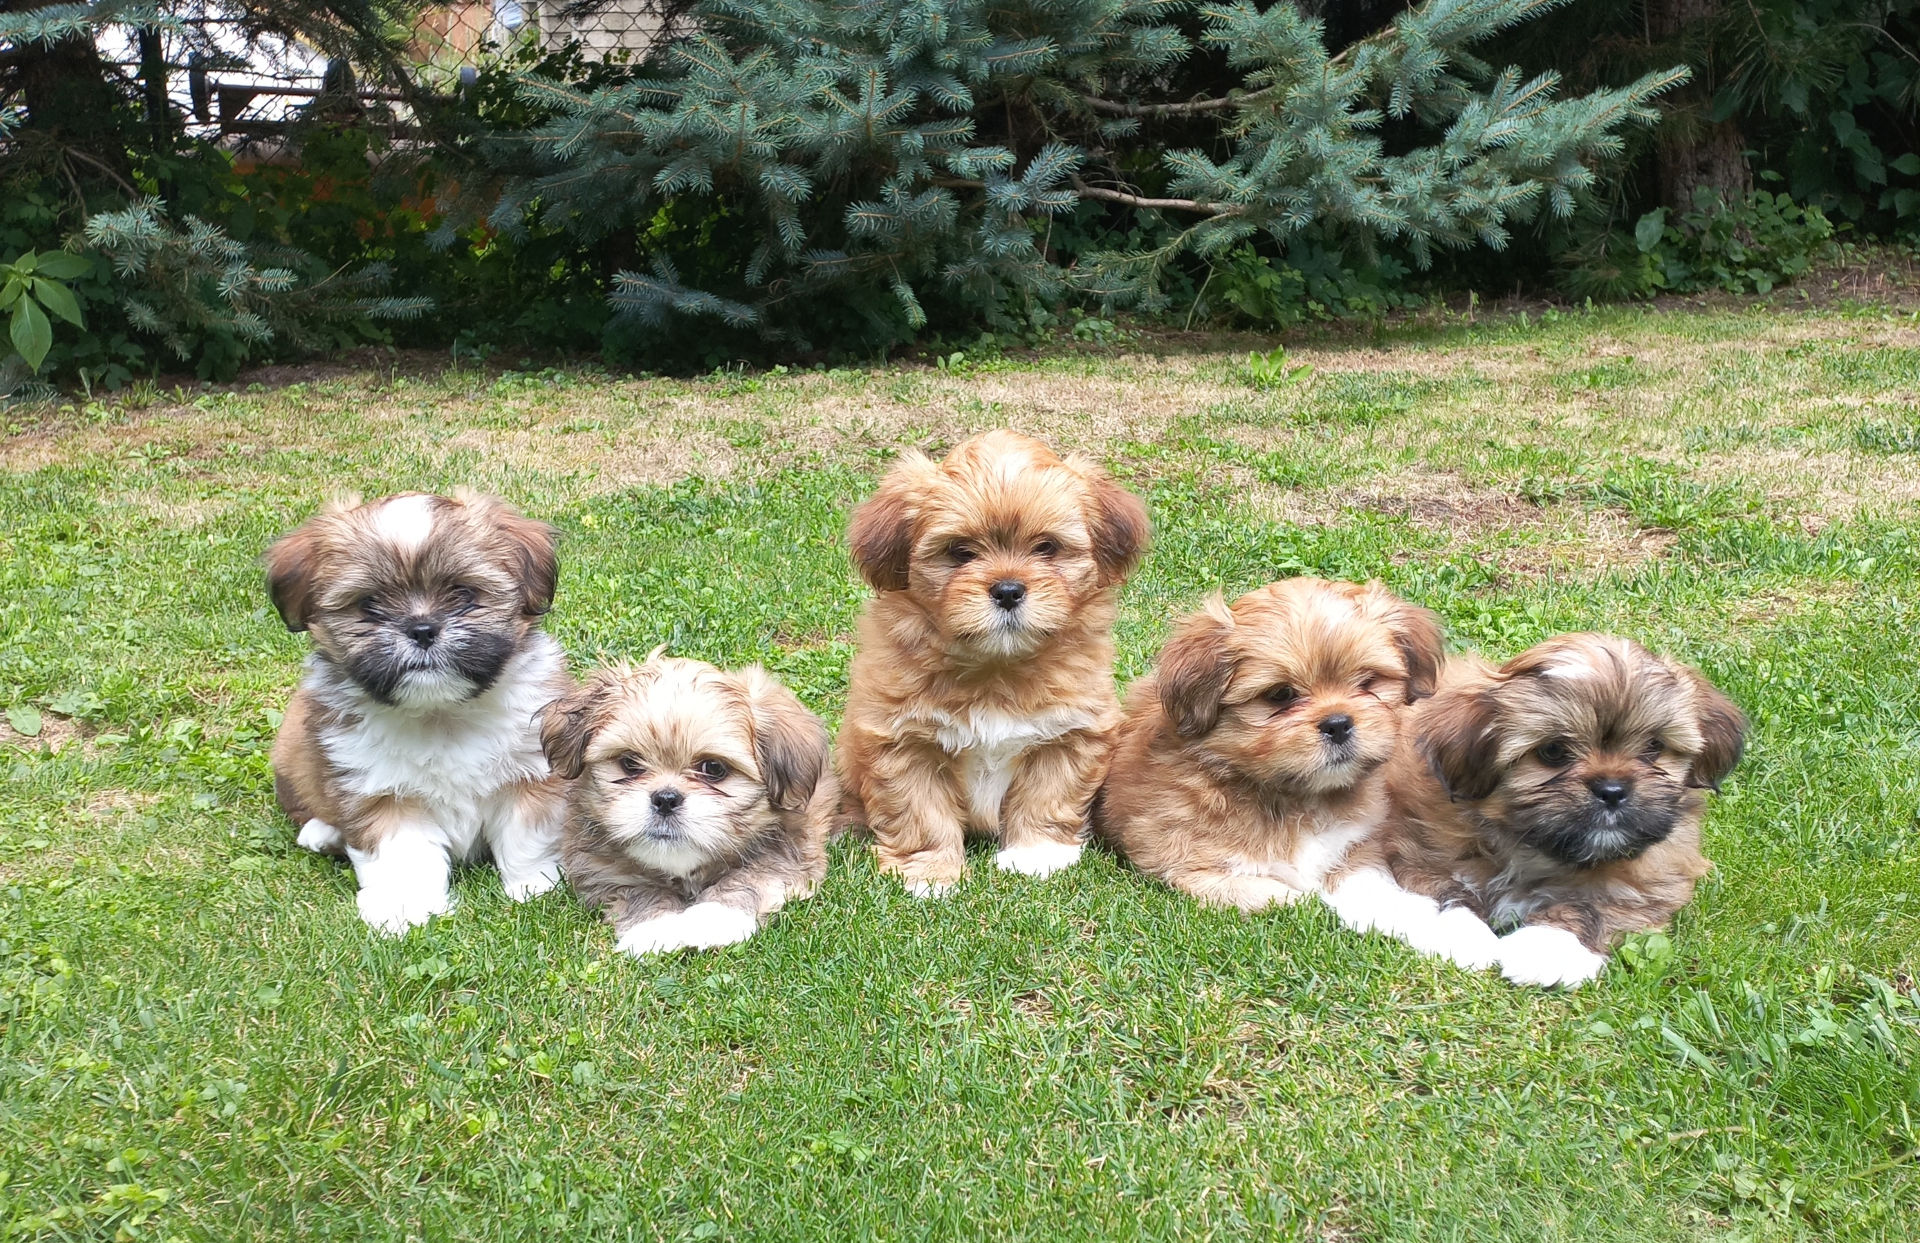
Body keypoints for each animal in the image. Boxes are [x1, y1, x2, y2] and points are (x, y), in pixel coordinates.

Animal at [267, 491, 570, 934]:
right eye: (369, 604)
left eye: (463, 594)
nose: (422, 629)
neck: (440, 712)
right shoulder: (380, 792)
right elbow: (403, 854)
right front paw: (406, 909)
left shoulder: (529, 772)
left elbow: (526, 835)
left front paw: (535, 885)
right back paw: (321, 832)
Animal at [541, 654, 833, 954]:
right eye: (630, 763)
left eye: (714, 768)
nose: (665, 799)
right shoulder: (596, 864)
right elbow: (633, 887)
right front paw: (652, 928)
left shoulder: (793, 847)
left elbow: (754, 875)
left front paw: (712, 919)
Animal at [836, 429, 1149, 895]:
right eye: (960, 552)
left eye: (1046, 548)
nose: (1007, 590)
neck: (996, 669)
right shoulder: (903, 741)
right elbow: (919, 811)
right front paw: (931, 874)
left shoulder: (1071, 732)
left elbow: (1048, 796)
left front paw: (1037, 857)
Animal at [1095, 578, 1444, 910]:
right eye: (1280, 695)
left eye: (1368, 682)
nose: (1337, 724)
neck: (1295, 802)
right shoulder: (1183, 861)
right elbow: (1282, 896)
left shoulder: (1359, 847)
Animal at [1325, 634, 1747, 987]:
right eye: (1553, 752)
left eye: (1654, 747)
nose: (1612, 790)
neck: (1530, 845)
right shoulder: (1419, 844)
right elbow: (1445, 888)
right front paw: (1461, 935)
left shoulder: (1658, 874)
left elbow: (1602, 906)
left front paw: (1548, 947)